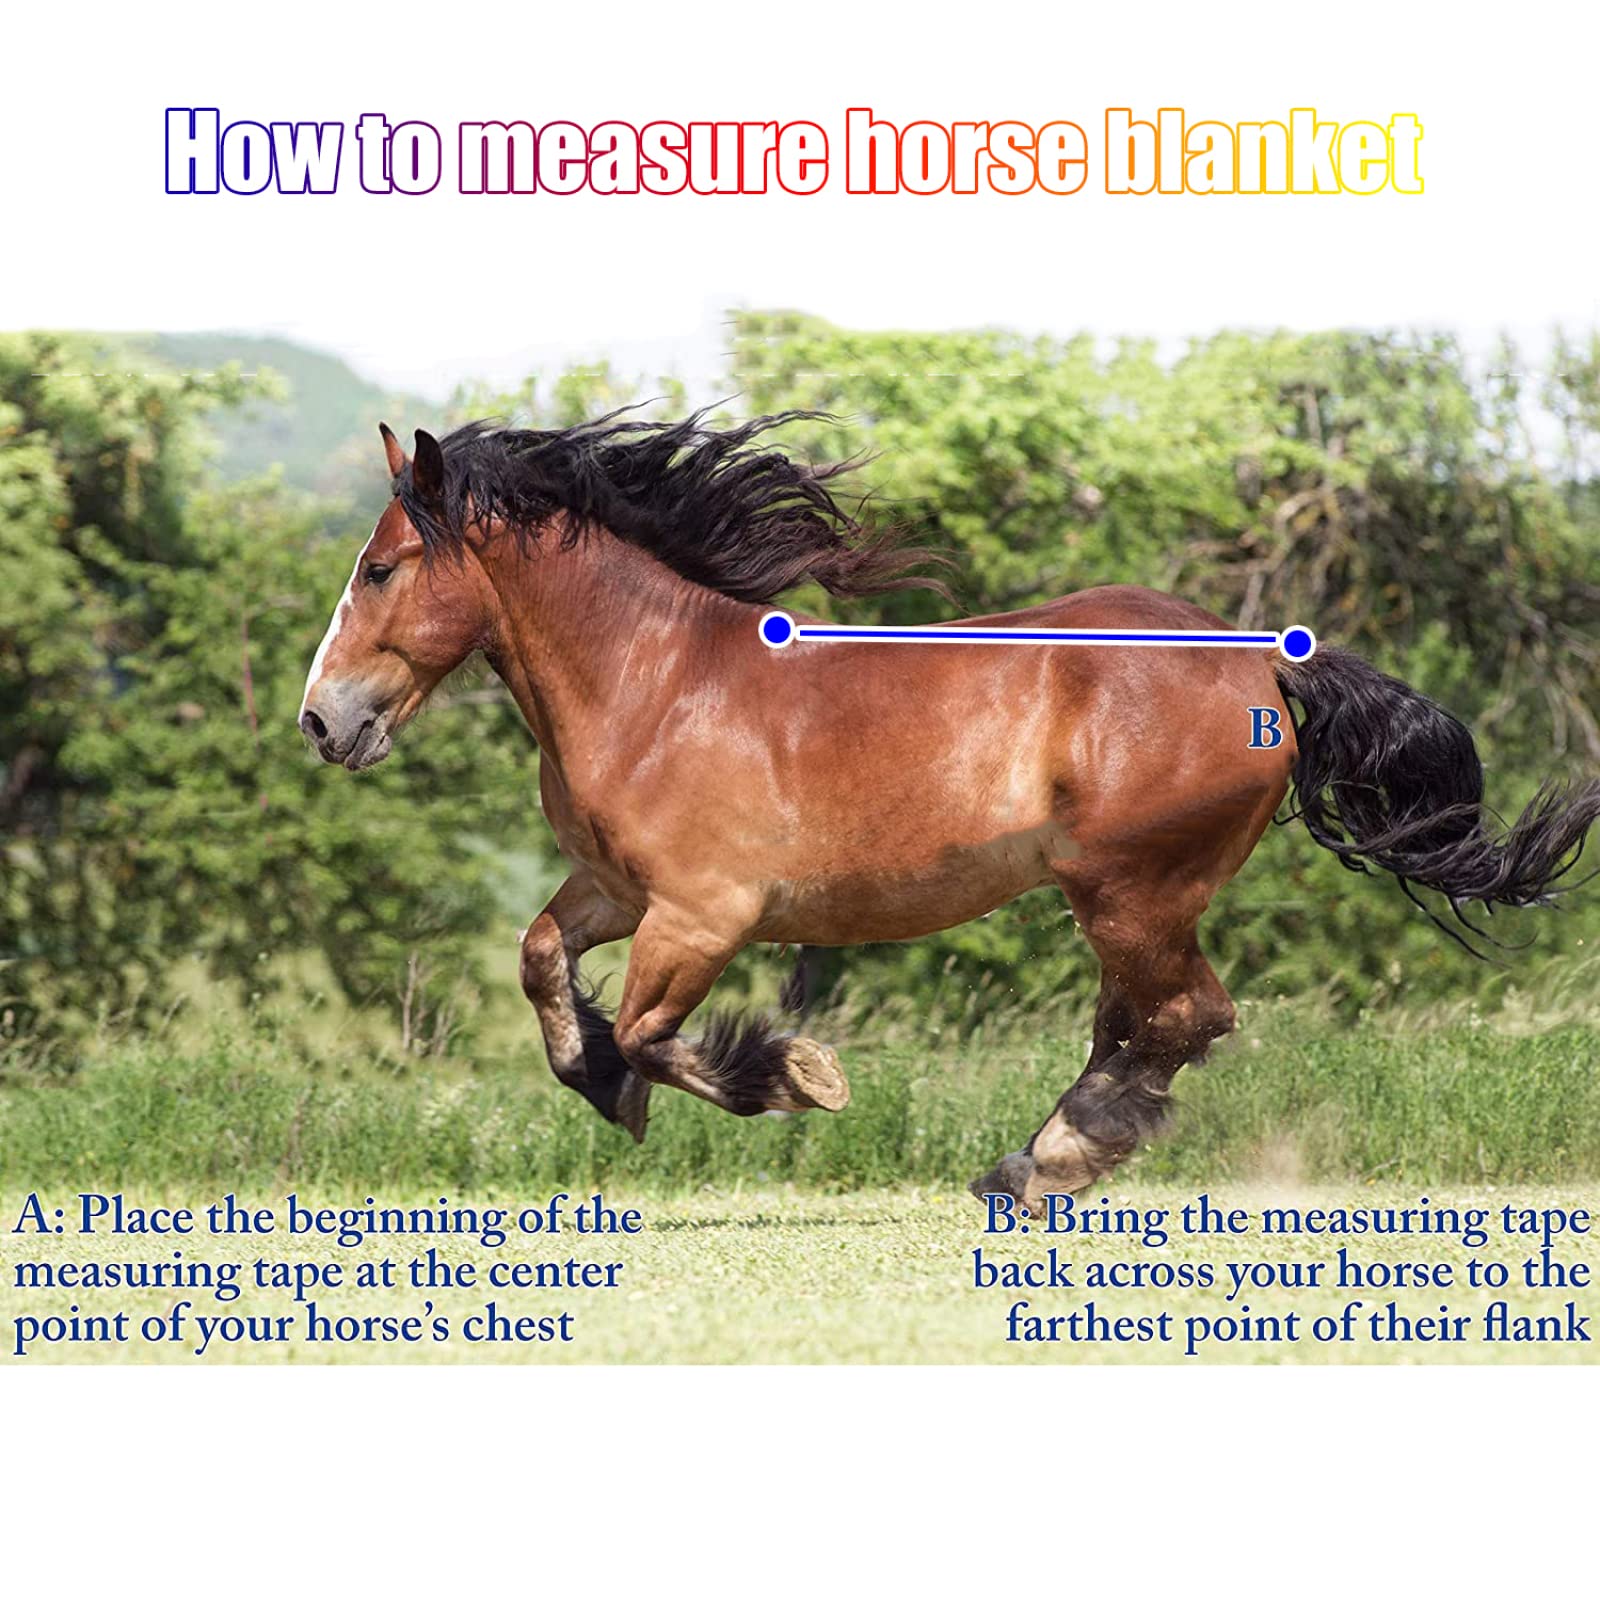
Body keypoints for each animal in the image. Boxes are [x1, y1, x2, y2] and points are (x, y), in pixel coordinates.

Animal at [298, 413, 1600, 1209]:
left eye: (380, 568)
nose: (322, 722)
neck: (653, 683)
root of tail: (1265, 667)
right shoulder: (617, 891)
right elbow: (540, 963)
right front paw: (600, 1079)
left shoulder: (704, 913)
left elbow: (658, 1033)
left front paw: (793, 1077)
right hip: (1122, 899)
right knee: (1145, 1022)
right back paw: (1045, 1154)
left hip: (1132, 887)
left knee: (1182, 1017)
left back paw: (1046, 1162)